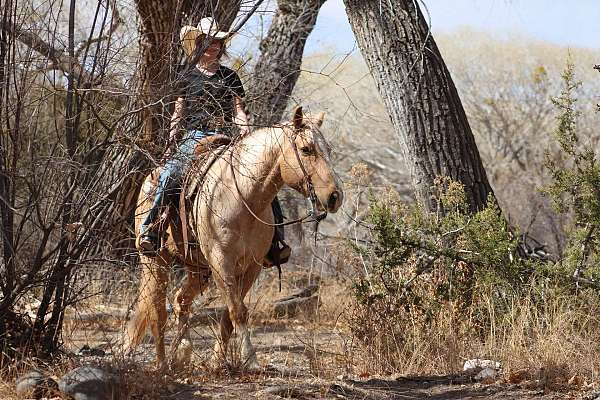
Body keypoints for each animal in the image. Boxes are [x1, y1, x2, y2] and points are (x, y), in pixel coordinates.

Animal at [124, 105, 344, 368]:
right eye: (306, 149)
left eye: (329, 149)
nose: (335, 196)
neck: (240, 197)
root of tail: (150, 178)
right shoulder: (221, 263)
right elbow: (237, 310)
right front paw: (250, 360)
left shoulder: (252, 266)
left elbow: (230, 314)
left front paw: (217, 361)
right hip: (156, 261)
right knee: (157, 310)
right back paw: (162, 363)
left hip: (198, 269)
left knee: (180, 300)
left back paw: (183, 351)